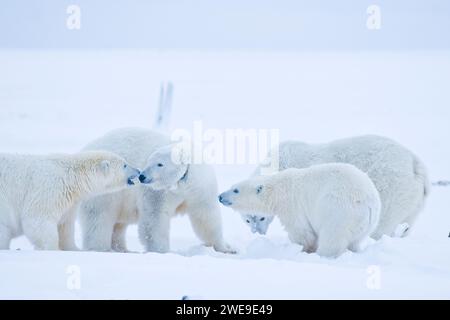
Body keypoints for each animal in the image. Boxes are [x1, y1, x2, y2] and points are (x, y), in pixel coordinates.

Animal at [0, 151, 140, 251]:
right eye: (124, 165)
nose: (138, 171)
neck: (71, 176)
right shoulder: (49, 189)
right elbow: (38, 220)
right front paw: (52, 248)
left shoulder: (69, 200)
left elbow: (65, 226)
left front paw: (74, 249)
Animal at [79, 127, 232, 252]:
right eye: (148, 161)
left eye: (160, 164)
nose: (141, 176)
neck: (181, 186)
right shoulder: (158, 193)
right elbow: (155, 218)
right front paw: (162, 251)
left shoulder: (200, 188)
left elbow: (206, 216)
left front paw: (225, 248)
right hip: (106, 188)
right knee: (99, 217)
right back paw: (100, 248)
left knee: (119, 223)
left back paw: (121, 248)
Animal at [220, 164, 382, 258]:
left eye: (235, 190)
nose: (220, 196)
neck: (278, 190)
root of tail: (369, 203)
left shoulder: (293, 206)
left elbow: (302, 233)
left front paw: (301, 249)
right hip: (367, 224)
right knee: (356, 240)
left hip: (339, 211)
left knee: (332, 238)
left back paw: (322, 255)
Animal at [239, 134, 428, 239]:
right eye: (247, 220)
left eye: (261, 218)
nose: (257, 232)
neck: (277, 163)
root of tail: (415, 163)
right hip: (414, 200)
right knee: (407, 222)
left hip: (391, 187)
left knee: (383, 221)